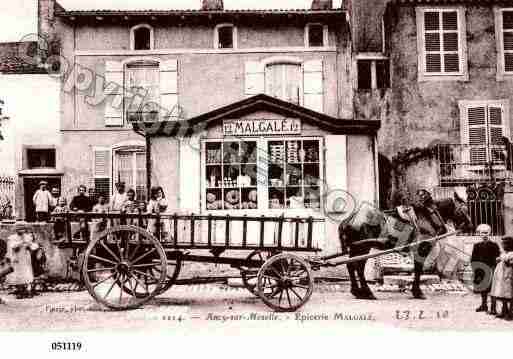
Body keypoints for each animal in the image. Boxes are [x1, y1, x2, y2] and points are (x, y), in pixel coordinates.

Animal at [338, 191, 474, 300]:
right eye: (464, 209)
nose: (470, 225)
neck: (428, 216)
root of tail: (350, 219)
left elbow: (417, 269)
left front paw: (416, 291)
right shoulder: (422, 249)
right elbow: (418, 269)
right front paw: (418, 292)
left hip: (356, 248)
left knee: (351, 265)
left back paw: (357, 291)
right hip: (363, 247)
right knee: (358, 267)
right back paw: (367, 292)